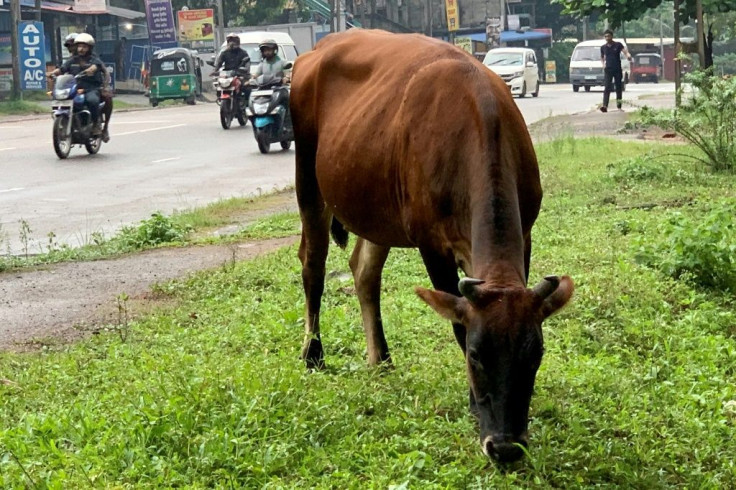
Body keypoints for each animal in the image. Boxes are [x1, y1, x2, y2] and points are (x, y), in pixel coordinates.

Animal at [288, 30, 576, 464]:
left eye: (536, 354)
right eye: (475, 354)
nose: (505, 447)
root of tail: (317, 51)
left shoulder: (525, 234)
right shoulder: (431, 243)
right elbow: (456, 321)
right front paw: (473, 407)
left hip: (377, 209)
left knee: (363, 271)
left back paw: (380, 359)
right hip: (308, 179)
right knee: (313, 264)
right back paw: (313, 354)